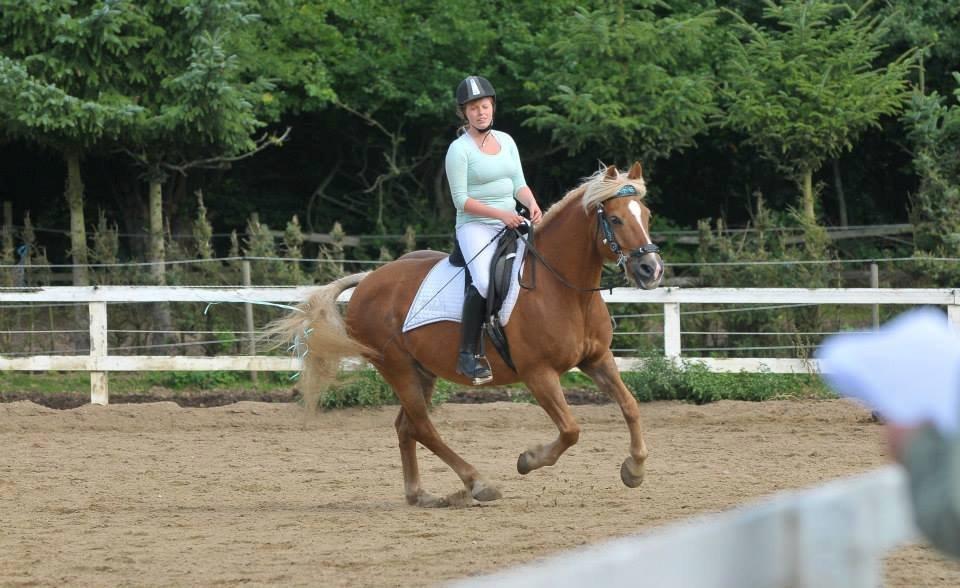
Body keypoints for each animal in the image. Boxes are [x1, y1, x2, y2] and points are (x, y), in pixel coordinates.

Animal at [266, 163, 664, 508]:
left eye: (646, 216)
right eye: (616, 219)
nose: (652, 269)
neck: (563, 288)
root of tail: (367, 280)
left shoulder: (597, 359)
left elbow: (630, 406)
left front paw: (634, 470)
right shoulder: (538, 374)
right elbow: (570, 429)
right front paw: (528, 459)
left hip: (421, 371)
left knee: (406, 427)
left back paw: (420, 494)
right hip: (396, 367)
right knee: (423, 427)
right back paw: (478, 483)